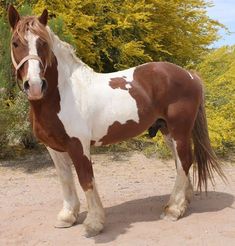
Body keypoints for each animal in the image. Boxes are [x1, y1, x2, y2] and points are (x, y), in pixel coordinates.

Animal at [8, 5, 226, 236]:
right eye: (15, 43)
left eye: (43, 43)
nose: (34, 85)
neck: (64, 93)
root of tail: (190, 75)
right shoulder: (54, 148)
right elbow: (65, 179)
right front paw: (67, 217)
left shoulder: (79, 145)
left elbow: (86, 179)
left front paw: (94, 223)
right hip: (168, 131)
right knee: (179, 162)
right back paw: (183, 202)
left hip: (179, 130)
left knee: (184, 161)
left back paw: (173, 210)